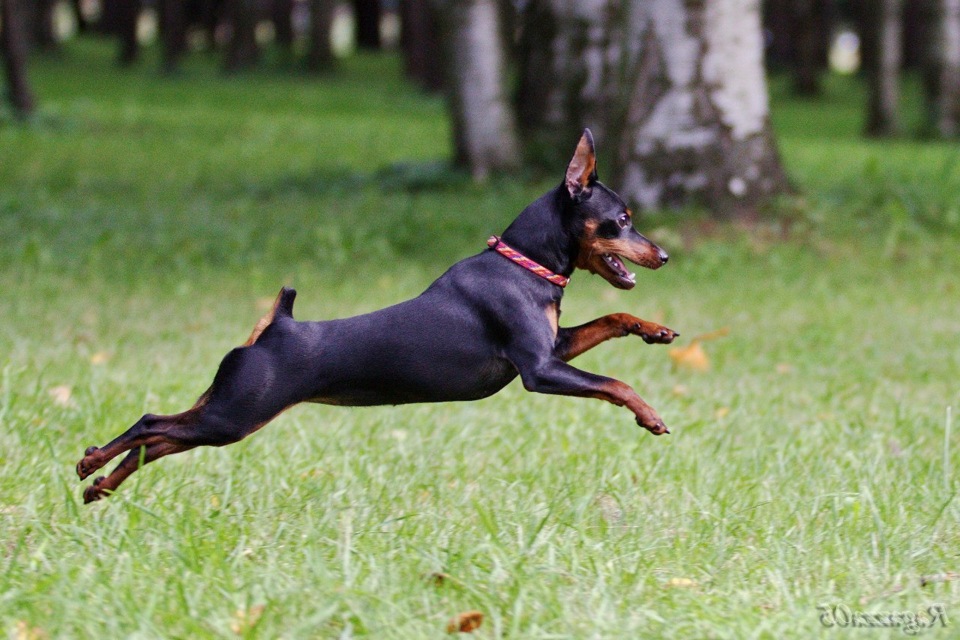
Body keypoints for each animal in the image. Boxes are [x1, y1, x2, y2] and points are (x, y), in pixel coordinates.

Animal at [77, 127, 676, 502]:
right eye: (623, 219)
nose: (664, 255)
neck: (523, 266)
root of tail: (274, 328)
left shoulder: (554, 350)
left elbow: (613, 318)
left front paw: (656, 330)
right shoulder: (539, 370)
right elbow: (615, 383)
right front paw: (649, 415)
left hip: (227, 411)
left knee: (158, 442)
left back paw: (99, 485)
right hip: (235, 414)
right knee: (150, 425)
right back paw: (90, 462)